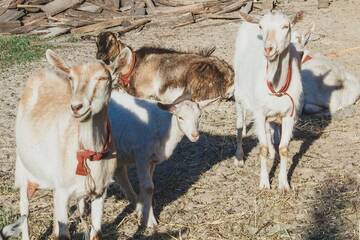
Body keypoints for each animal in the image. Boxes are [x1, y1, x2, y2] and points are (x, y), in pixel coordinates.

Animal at [15, 49, 116, 239]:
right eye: (71, 78)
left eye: (102, 78)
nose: (76, 107)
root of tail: (40, 73)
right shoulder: (63, 190)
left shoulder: (100, 191)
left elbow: (96, 233)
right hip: (23, 165)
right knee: (24, 207)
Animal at [95, 31, 235, 102]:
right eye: (96, 43)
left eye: (111, 42)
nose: (99, 55)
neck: (134, 64)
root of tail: (230, 78)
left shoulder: (142, 91)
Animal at [108, 90, 210, 227]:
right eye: (180, 117)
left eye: (199, 116)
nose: (195, 135)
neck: (165, 126)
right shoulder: (142, 156)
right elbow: (148, 187)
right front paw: (150, 221)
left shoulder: (152, 160)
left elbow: (148, 186)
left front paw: (143, 210)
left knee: (120, 173)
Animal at [233, 11, 304, 191]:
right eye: (261, 27)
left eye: (285, 26)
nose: (268, 49)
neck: (277, 86)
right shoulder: (259, 112)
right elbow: (262, 148)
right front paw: (264, 183)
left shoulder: (289, 114)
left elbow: (284, 148)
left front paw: (284, 184)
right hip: (239, 92)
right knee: (240, 124)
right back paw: (239, 156)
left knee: (267, 129)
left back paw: (273, 152)